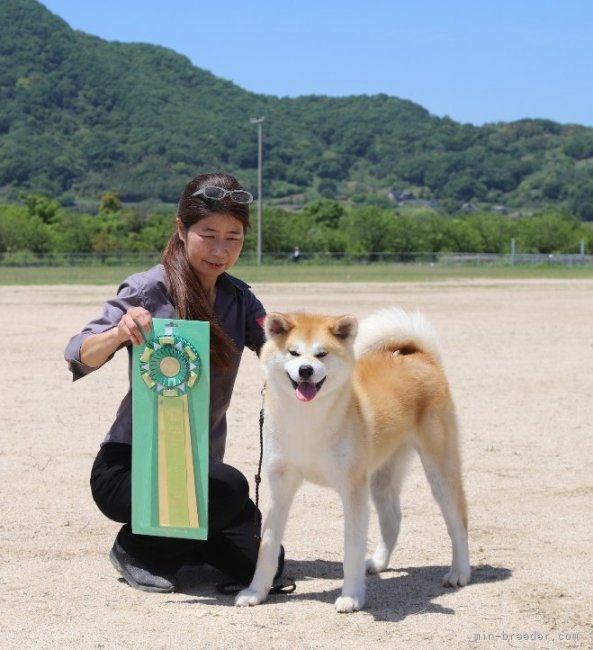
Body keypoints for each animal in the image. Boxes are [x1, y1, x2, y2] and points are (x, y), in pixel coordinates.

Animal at [234, 306, 470, 612]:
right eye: (293, 353)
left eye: (322, 354)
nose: (306, 370)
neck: (307, 420)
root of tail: (420, 356)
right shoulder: (280, 484)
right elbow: (268, 546)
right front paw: (255, 592)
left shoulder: (353, 489)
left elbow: (352, 549)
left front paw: (352, 596)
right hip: (382, 478)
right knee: (393, 519)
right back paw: (378, 563)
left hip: (439, 470)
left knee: (458, 523)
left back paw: (459, 572)